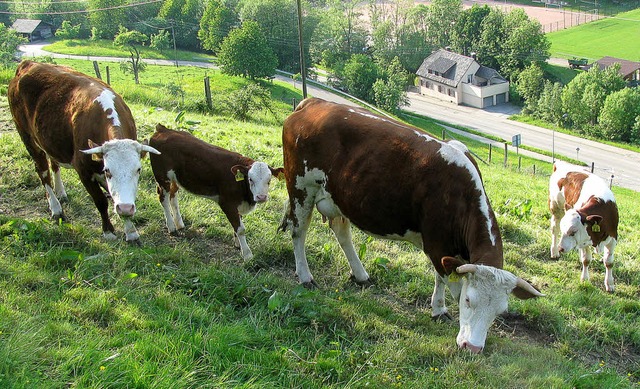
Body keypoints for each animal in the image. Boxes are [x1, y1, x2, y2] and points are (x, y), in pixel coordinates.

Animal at [6, 59, 159, 242]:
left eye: (138, 170)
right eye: (108, 170)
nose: (126, 208)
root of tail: (28, 63)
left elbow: (116, 196)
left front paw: (131, 232)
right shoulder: (83, 170)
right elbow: (101, 201)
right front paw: (109, 231)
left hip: (50, 140)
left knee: (54, 163)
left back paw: (61, 193)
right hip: (27, 136)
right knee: (43, 172)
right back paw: (56, 209)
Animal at [149, 123, 284, 260]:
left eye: (269, 180)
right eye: (250, 179)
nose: (261, 197)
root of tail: (164, 129)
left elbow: (238, 224)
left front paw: (238, 245)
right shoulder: (227, 203)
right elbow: (240, 228)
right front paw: (247, 254)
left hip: (175, 178)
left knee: (173, 195)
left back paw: (179, 223)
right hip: (162, 177)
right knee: (163, 198)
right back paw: (171, 227)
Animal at [278, 98, 544, 354]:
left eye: (499, 312)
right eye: (469, 301)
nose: (474, 347)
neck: (460, 194)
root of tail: (314, 103)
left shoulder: (446, 249)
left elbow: (440, 277)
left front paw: (438, 310)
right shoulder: (437, 244)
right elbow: (450, 282)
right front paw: (446, 316)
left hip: (338, 197)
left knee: (342, 233)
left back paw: (361, 275)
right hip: (301, 187)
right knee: (299, 231)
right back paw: (305, 276)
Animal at [548, 160, 616, 292]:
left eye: (573, 231)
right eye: (564, 230)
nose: (561, 248)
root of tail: (561, 163)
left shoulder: (613, 238)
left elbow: (609, 262)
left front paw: (610, 284)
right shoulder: (584, 241)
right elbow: (586, 260)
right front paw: (584, 279)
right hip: (555, 206)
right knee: (554, 229)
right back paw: (554, 251)